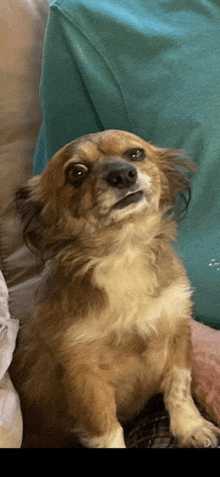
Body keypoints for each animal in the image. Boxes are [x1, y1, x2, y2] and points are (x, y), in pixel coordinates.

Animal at [10, 128, 220, 444]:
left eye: (135, 153)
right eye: (76, 172)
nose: (123, 175)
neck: (124, 250)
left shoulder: (176, 332)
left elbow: (179, 387)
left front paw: (190, 426)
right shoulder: (84, 375)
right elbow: (107, 431)